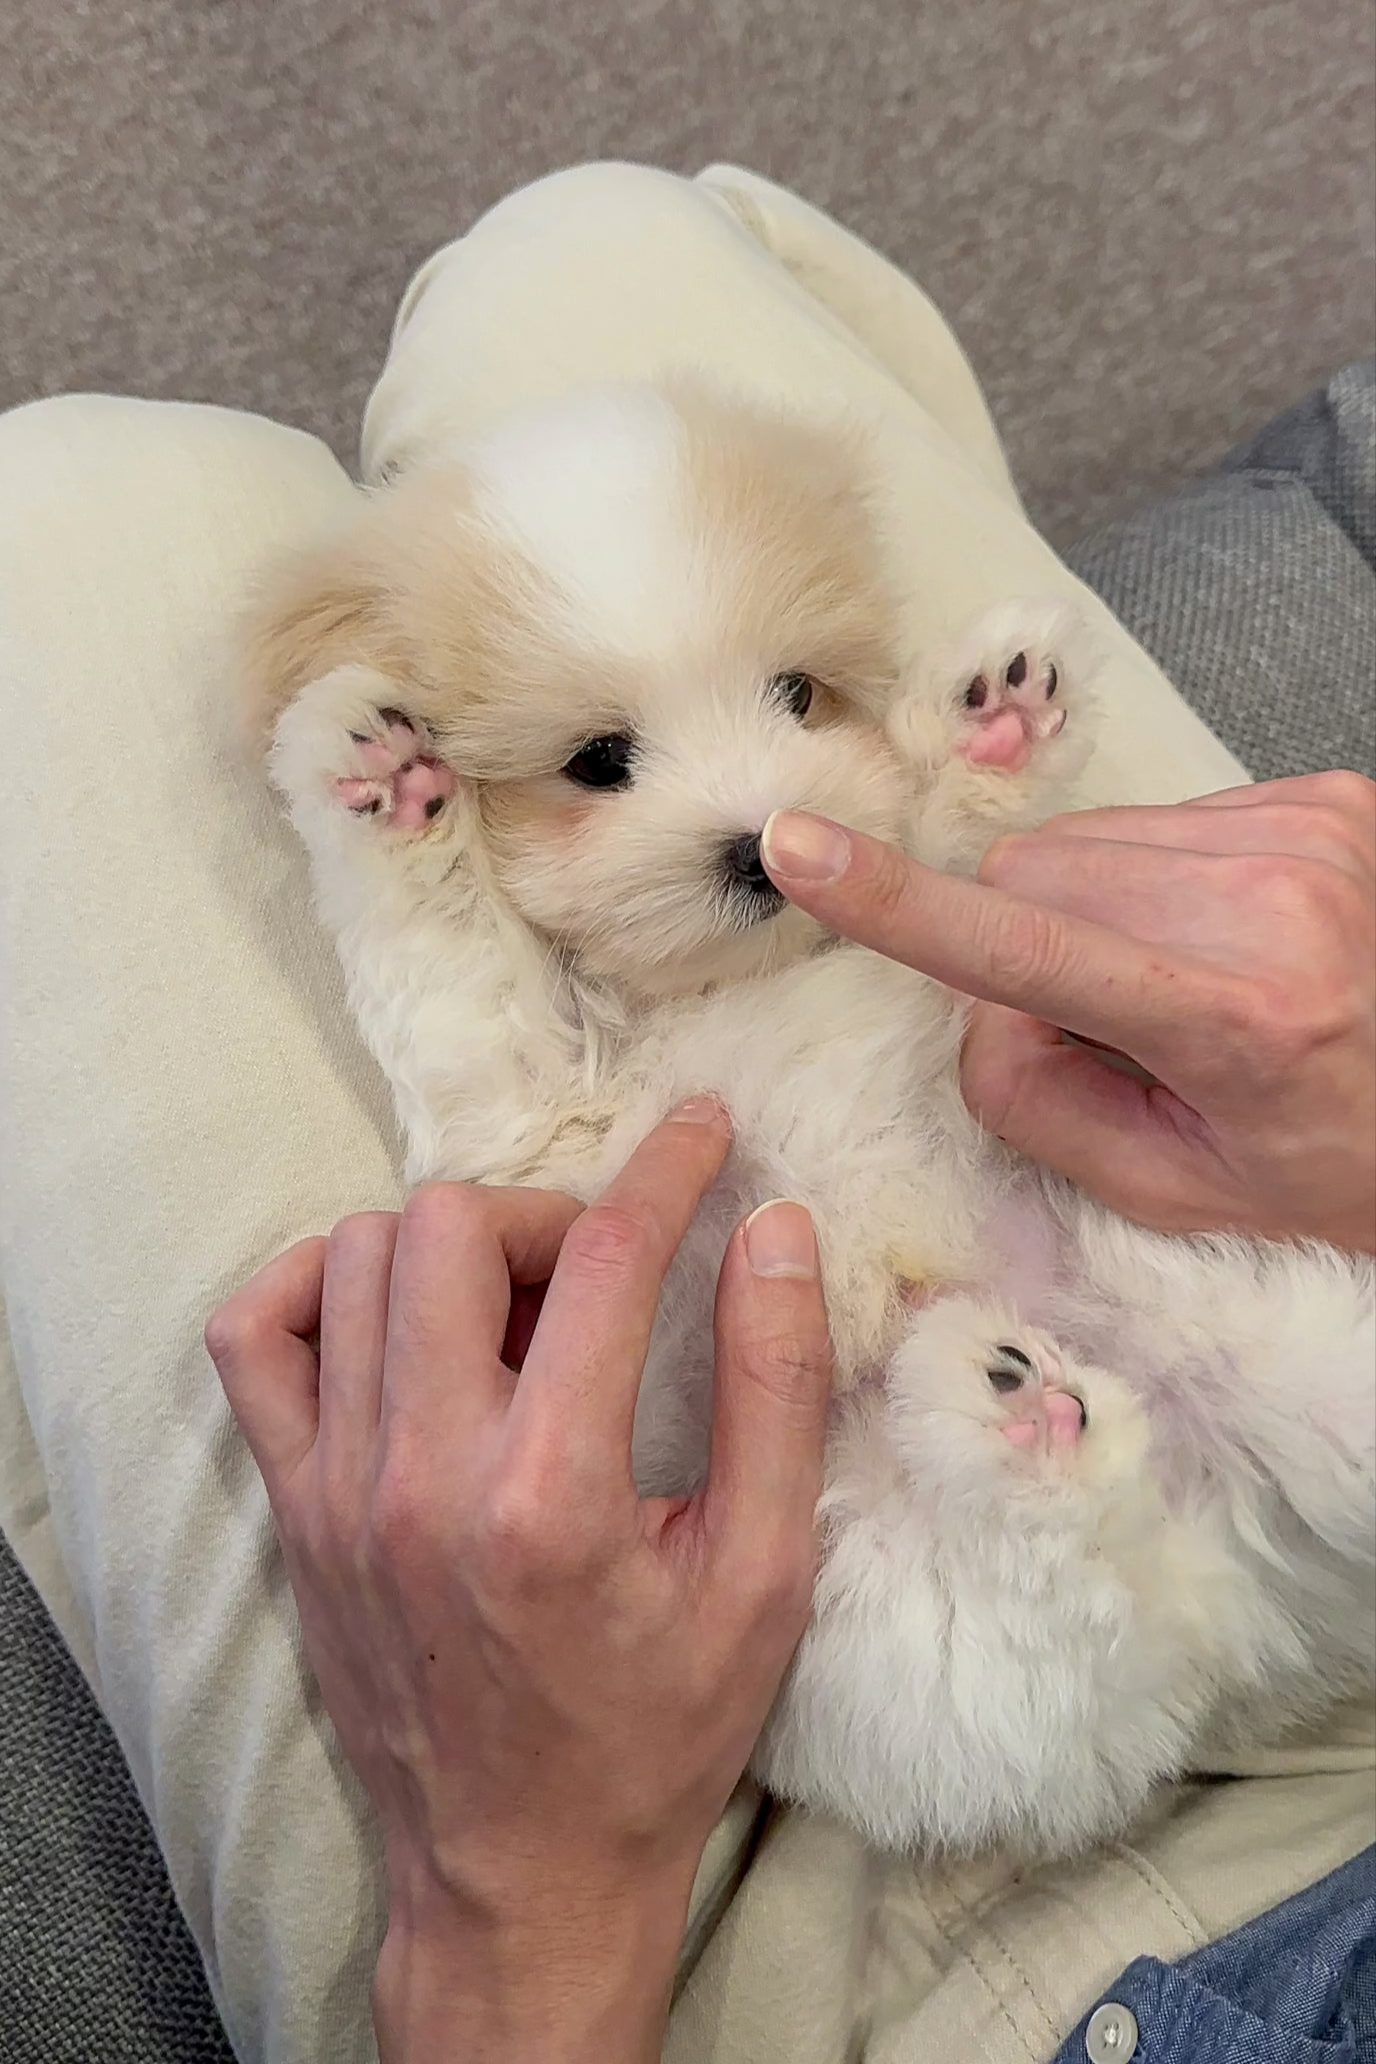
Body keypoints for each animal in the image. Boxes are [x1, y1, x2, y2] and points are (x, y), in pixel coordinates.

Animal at [247, 383, 1376, 1857]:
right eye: (596, 761)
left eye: (798, 695)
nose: (756, 841)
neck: (708, 985)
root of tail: (1232, 1556)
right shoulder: (531, 1129)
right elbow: (454, 962)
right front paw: (383, 778)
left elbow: (935, 851)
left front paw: (995, 725)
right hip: (880, 1633)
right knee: (1064, 1643)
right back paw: (1025, 1422)